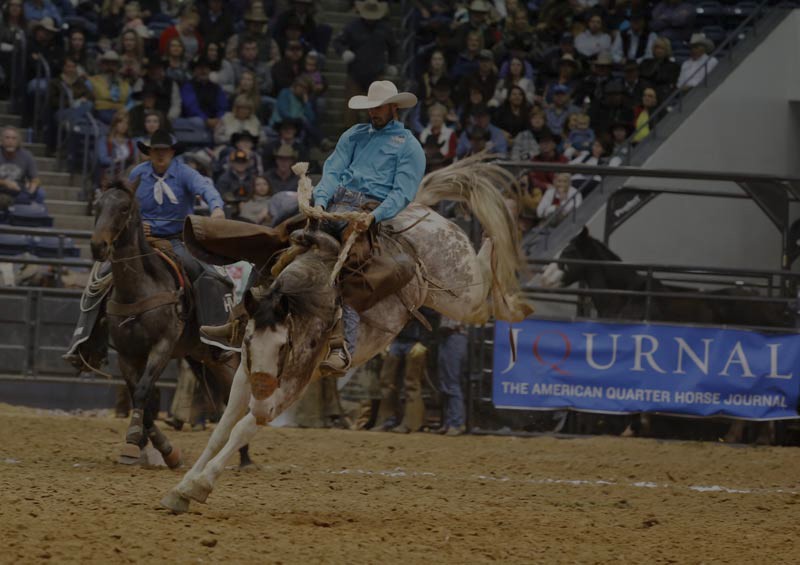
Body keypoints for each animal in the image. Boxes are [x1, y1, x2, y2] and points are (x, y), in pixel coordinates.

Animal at [161, 153, 536, 512]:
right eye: (250, 341)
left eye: (285, 346)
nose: (263, 396)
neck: (307, 299)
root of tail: (421, 211)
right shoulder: (245, 372)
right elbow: (223, 427)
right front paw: (181, 488)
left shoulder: (293, 384)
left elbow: (243, 427)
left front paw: (199, 485)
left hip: (459, 293)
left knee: (484, 292)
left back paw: (506, 280)